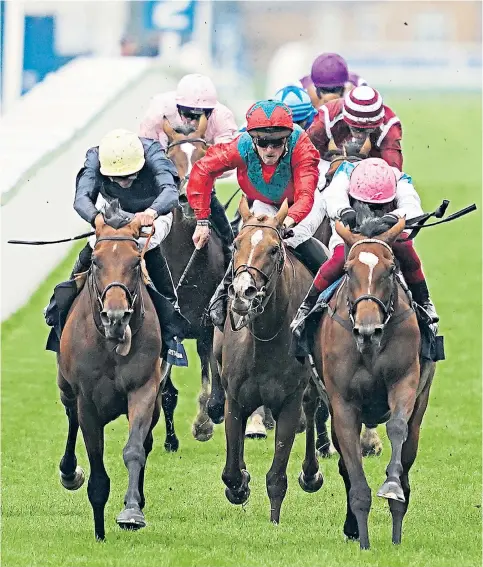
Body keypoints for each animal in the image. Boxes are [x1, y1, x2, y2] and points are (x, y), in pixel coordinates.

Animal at [56, 207, 165, 540]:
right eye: (95, 261)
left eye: (135, 262)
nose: (115, 318)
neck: (110, 344)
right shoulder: (87, 401)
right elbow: (96, 466)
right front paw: (99, 532)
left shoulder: (144, 389)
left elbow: (135, 450)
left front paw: (132, 511)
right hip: (65, 389)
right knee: (71, 419)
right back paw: (69, 471)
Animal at [214, 199, 324, 524]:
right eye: (236, 243)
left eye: (274, 249)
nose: (242, 292)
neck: (264, 338)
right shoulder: (235, 398)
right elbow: (231, 471)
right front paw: (239, 487)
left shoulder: (289, 402)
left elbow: (277, 476)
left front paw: (274, 521)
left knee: (312, 407)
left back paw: (311, 474)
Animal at [314, 213, 438, 552]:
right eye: (347, 270)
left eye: (391, 269)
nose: (368, 331)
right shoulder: (342, 404)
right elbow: (353, 473)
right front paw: (362, 537)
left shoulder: (405, 382)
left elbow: (398, 427)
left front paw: (392, 487)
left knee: (408, 448)